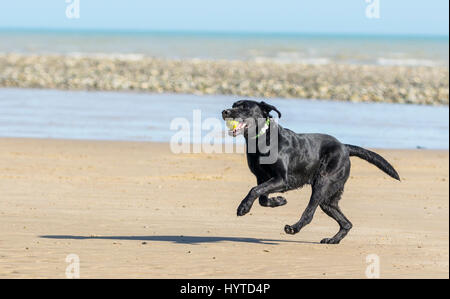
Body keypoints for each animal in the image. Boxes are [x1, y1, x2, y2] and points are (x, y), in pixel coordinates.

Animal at [221, 99, 400, 245]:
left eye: (244, 107)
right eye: (233, 105)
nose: (225, 112)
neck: (263, 139)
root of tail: (345, 147)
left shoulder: (282, 179)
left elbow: (254, 190)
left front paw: (243, 207)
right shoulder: (262, 178)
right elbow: (261, 197)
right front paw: (278, 200)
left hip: (323, 183)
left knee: (309, 213)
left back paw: (294, 228)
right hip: (328, 200)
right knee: (346, 223)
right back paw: (333, 240)